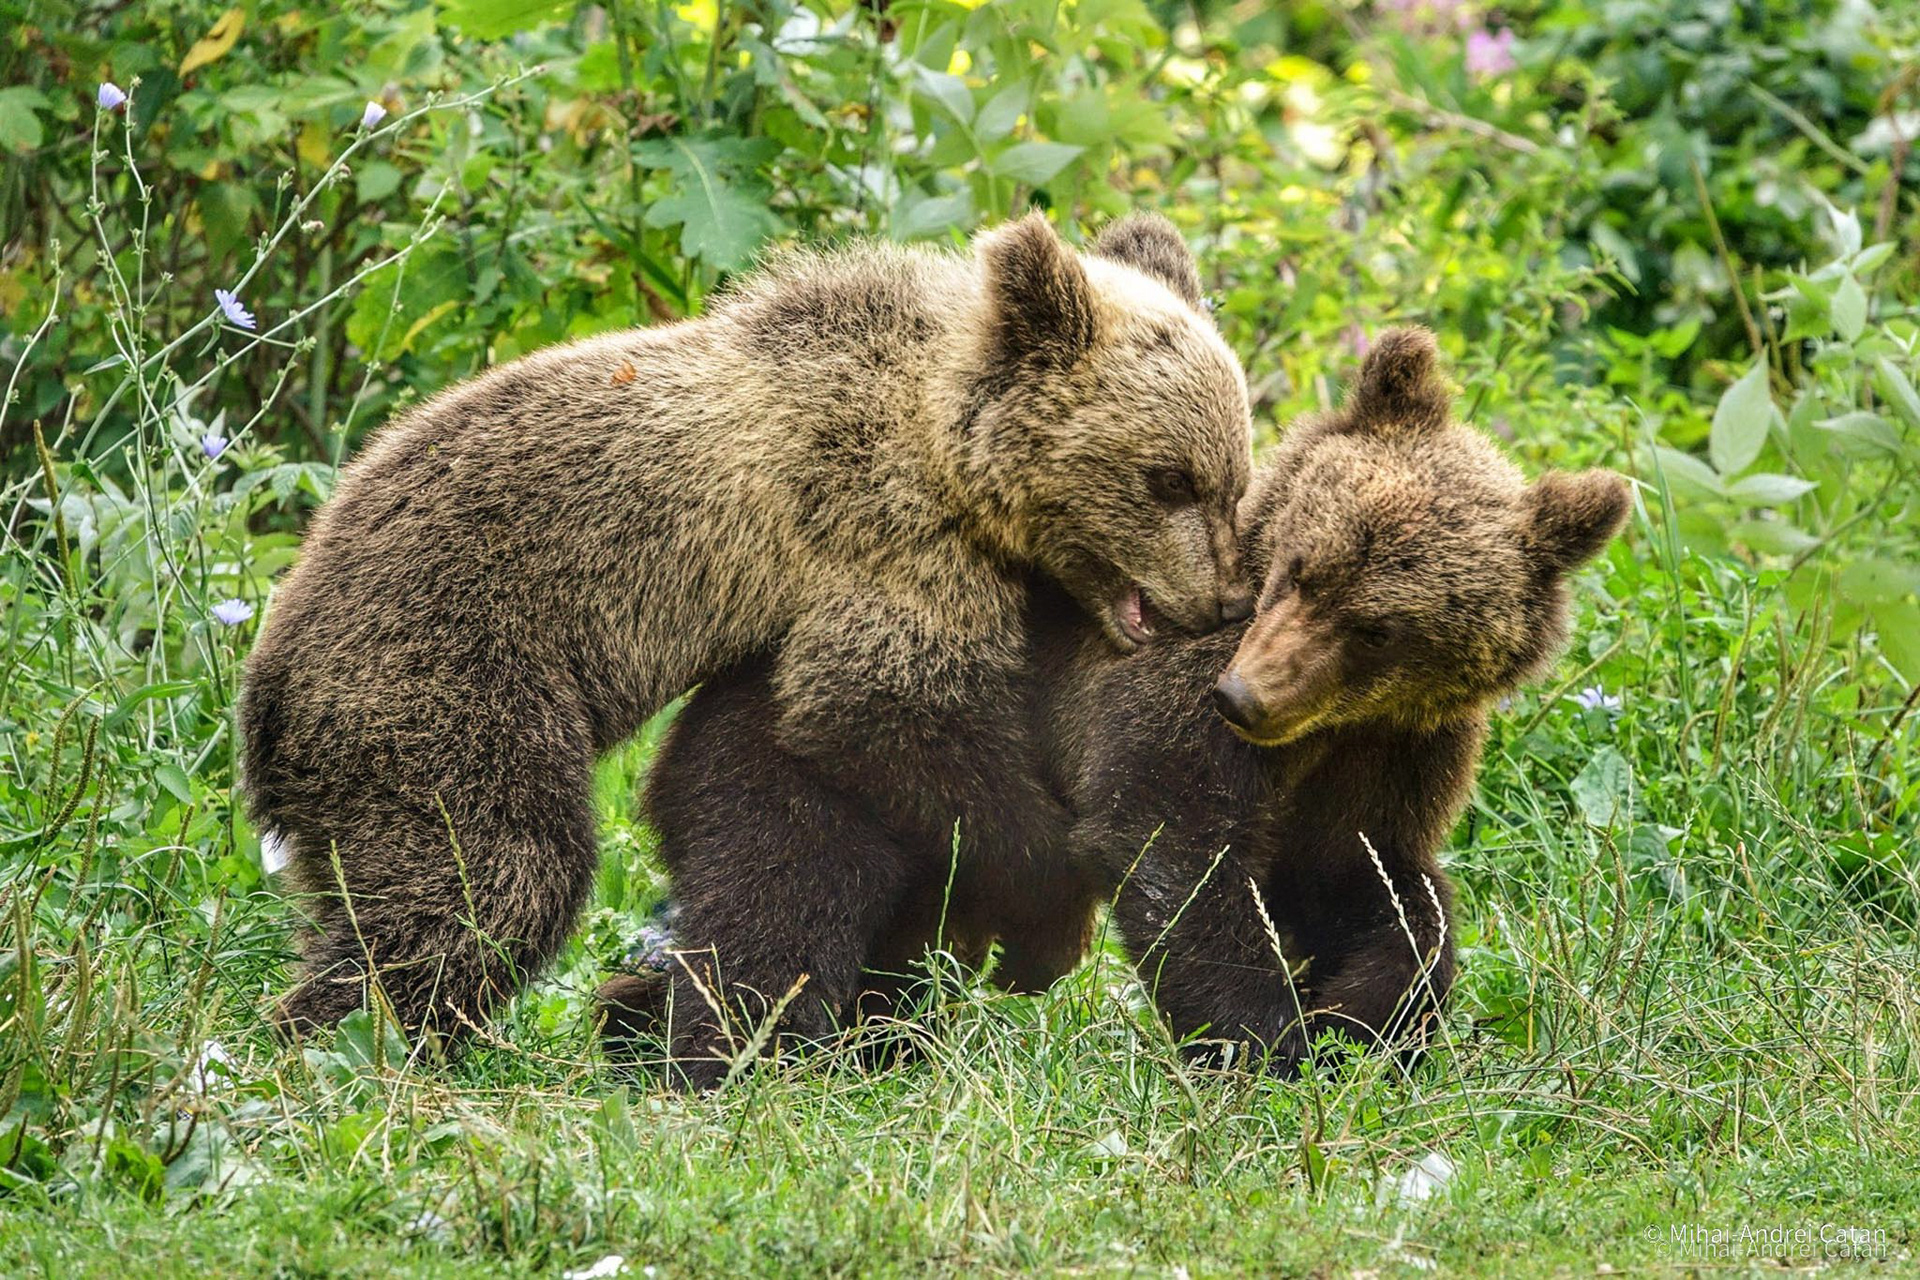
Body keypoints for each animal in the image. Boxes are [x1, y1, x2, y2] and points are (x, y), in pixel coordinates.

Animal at [238, 211, 1255, 1043]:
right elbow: (875, 703)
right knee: (492, 874)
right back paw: (345, 1040)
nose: (1222, 601)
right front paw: (1047, 913)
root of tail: (266, 686)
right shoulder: (880, 525)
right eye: (1169, 477)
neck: (946, 439)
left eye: (1233, 478)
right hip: (441, 666)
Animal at [598, 326, 1629, 1082]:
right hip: (805, 766)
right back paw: (729, 1057)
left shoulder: (1394, 750)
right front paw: (1267, 1044)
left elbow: (1371, 881)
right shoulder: (1166, 693)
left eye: (1379, 627)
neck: (1330, 726)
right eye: (1302, 569)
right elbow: (1170, 838)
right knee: (781, 909)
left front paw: (1361, 1015)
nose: (1245, 695)